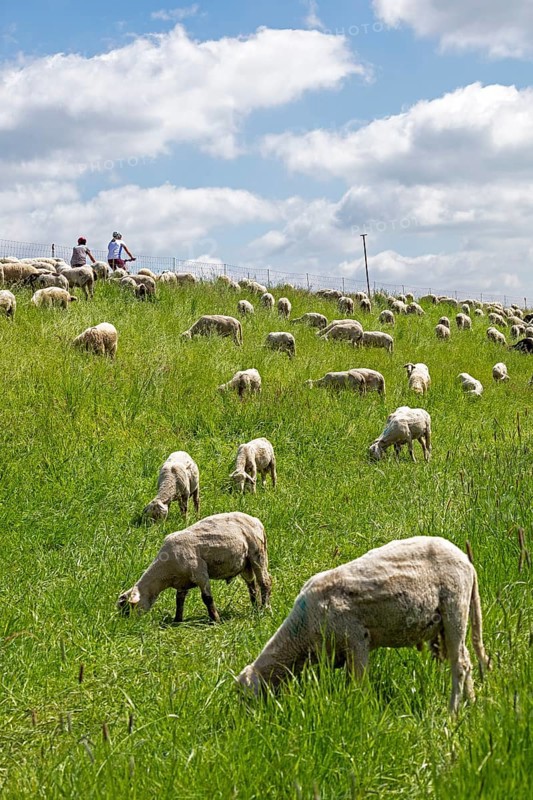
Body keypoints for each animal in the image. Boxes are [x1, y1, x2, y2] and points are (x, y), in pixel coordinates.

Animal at [118, 512, 271, 623]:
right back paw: (255, 607)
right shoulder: (181, 582)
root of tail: (256, 521)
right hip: (245, 563)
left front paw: (215, 620)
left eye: (128, 609)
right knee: (252, 584)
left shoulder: (200, 573)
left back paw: (265, 609)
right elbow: (179, 600)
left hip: (258, 554)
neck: (165, 574)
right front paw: (177, 621)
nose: (126, 625)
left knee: (265, 582)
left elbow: (207, 598)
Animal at [237, 535, 490, 714]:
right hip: (447, 623)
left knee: (460, 664)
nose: (249, 721)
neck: (302, 633)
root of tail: (467, 562)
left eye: (248, 698)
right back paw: (472, 702)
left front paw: (360, 711)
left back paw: (453, 711)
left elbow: (358, 684)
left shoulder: (357, 640)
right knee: (467, 659)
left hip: (455, 607)